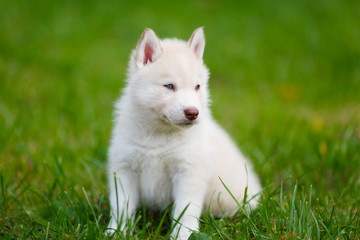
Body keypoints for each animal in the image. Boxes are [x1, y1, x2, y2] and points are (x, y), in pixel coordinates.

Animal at [107, 27, 262, 238]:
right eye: (169, 86)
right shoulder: (125, 169)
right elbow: (121, 206)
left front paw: (183, 235)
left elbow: (185, 210)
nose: (193, 113)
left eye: (197, 87)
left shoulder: (189, 172)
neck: (159, 135)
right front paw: (116, 231)